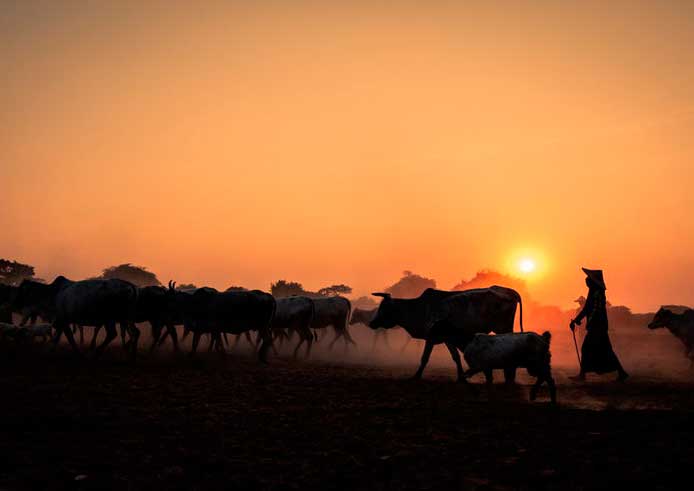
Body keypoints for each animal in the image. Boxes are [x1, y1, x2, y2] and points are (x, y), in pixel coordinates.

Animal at [372, 286, 524, 382]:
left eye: (383, 308)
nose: (372, 323)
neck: (419, 309)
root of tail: (512, 292)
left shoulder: (431, 338)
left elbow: (424, 358)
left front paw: (416, 376)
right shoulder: (447, 339)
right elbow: (455, 357)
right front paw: (461, 377)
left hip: (503, 328)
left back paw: (509, 378)